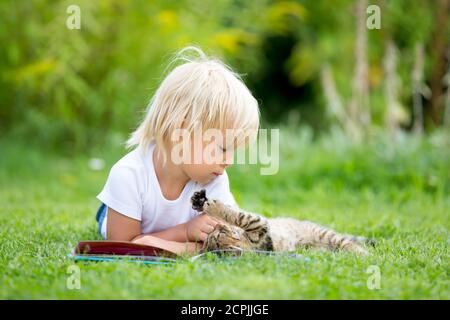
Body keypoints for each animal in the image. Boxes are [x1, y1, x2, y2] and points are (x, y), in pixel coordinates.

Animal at [192, 190, 374, 255]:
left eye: (218, 231)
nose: (217, 225)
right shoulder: (258, 225)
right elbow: (239, 216)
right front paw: (213, 207)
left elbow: (235, 213)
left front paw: (202, 202)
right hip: (321, 241)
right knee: (348, 244)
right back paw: (363, 256)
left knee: (349, 242)